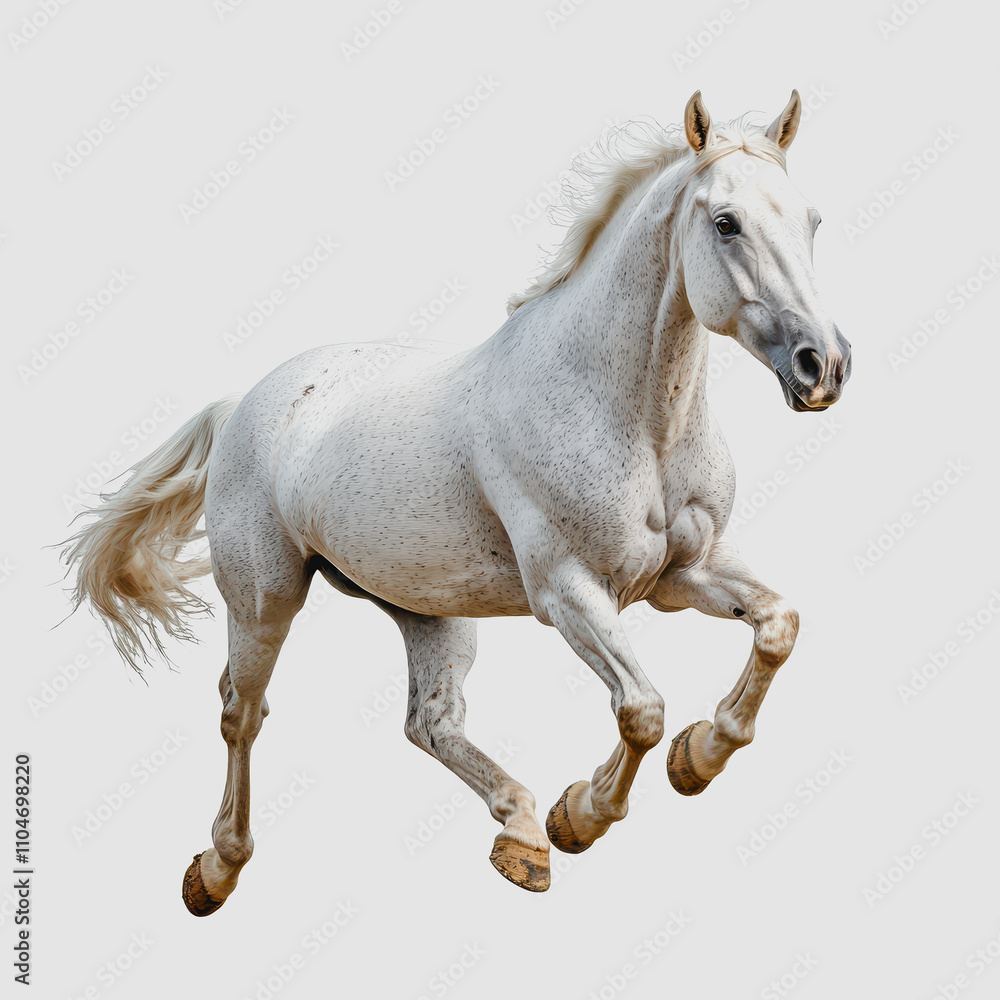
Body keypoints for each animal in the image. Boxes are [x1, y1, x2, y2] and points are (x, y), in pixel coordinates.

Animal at [62, 90, 851, 913]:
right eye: (726, 223)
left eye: (811, 220)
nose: (823, 366)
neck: (629, 416)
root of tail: (245, 403)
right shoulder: (568, 591)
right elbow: (642, 710)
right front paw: (586, 814)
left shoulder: (683, 574)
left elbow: (778, 628)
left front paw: (697, 759)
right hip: (264, 598)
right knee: (240, 712)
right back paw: (217, 869)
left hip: (428, 611)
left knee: (430, 722)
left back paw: (522, 835)